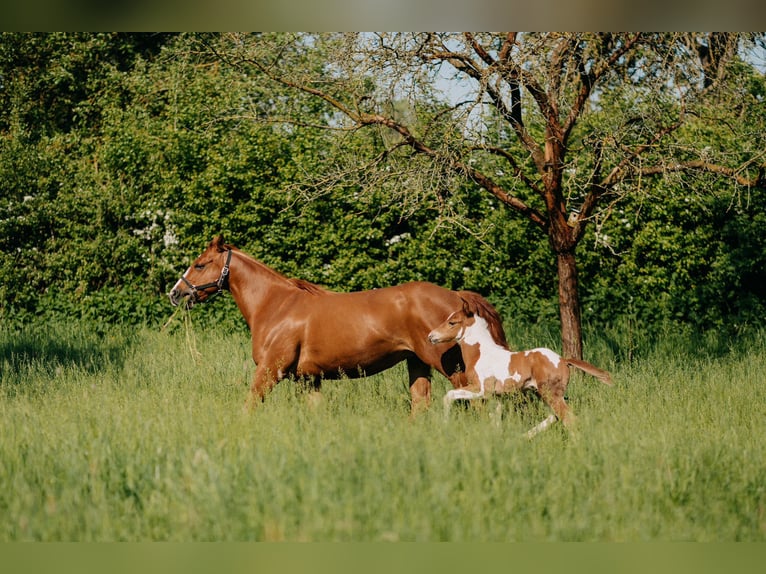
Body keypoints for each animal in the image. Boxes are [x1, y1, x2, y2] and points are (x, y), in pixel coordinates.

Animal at [168, 235, 508, 413]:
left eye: (200, 264)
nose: (176, 293)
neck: (276, 305)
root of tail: (457, 298)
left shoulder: (269, 371)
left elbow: (249, 405)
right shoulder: (308, 379)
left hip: (450, 366)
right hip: (418, 363)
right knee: (420, 403)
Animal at [427, 297, 612, 438]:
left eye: (452, 322)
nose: (431, 336)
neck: (481, 354)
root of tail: (562, 359)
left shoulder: (480, 390)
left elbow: (449, 395)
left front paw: (444, 425)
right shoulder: (497, 397)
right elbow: (495, 419)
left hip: (549, 394)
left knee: (568, 418)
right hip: (542, 393)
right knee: (555, 416)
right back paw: (525, 437)